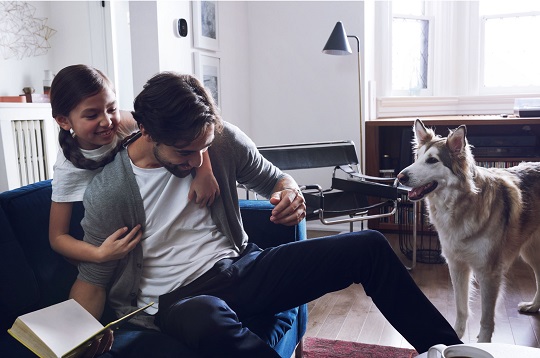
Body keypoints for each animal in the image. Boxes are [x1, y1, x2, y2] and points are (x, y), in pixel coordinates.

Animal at [396, 119, 540, 342]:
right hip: (531, 252)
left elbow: (486, 319)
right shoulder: (457, 265)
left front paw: (483, 343)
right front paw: (456, 336)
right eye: (417, 158)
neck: (458, 205)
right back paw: (533, 306)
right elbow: (461, 308)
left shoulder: (489, 273)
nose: (400, 176)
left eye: (432, 160)